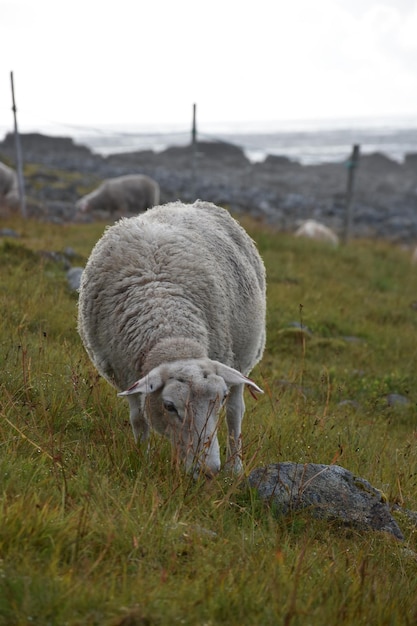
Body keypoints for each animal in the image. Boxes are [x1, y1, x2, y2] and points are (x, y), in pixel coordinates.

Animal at [77, 200, 266, 478]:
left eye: (218, 399)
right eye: (169, 406)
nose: (208, 471)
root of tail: (187, 203)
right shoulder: (125, 373)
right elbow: (139, 419)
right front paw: (142, 459)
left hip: (242, 357)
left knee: (236, 413)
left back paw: (236, 468)